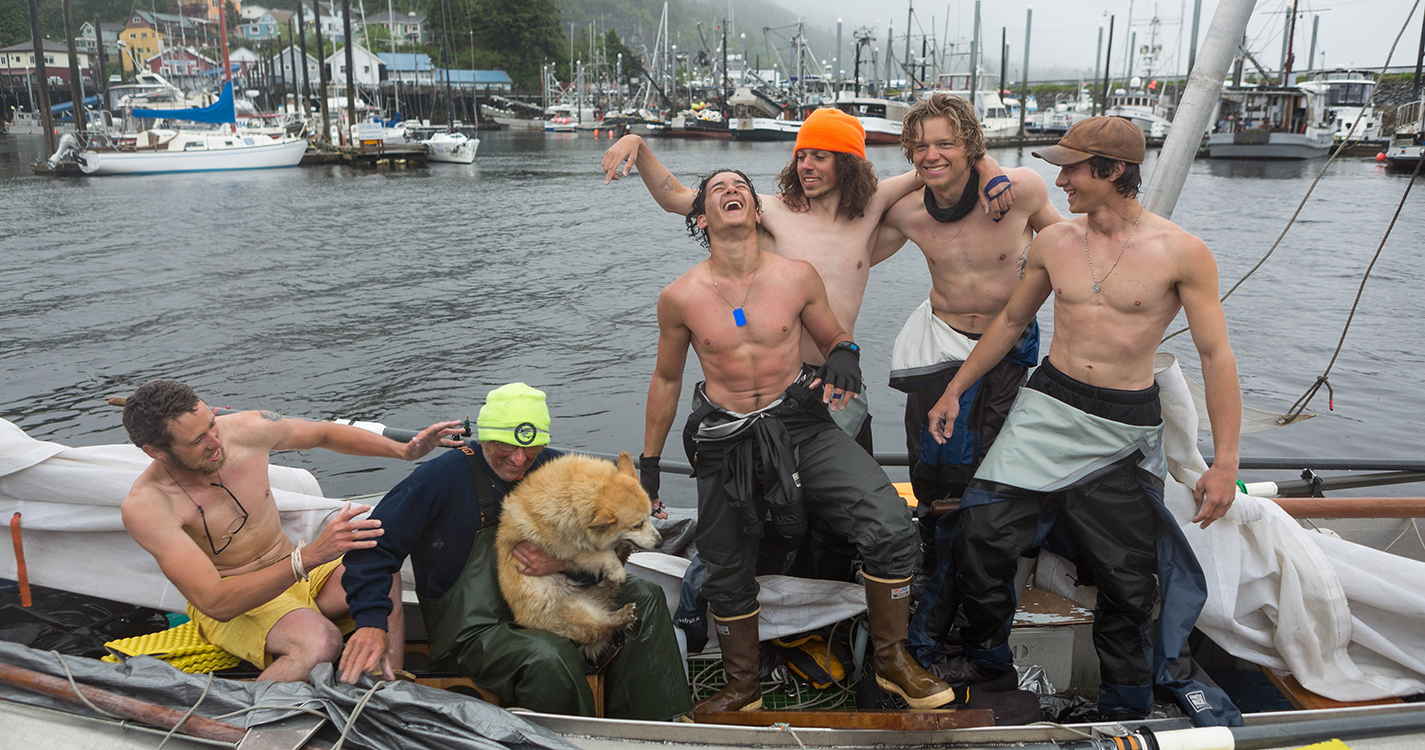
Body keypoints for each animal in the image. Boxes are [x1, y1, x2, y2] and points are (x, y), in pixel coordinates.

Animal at [495, 453, 661, 658]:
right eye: (637, 525)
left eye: (649, 516)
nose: (660, 542)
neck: (571, 495)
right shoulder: (566, 547)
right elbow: (599, 554)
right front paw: (616, 569)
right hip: (572, 611)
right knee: (600, 627)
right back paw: (623, 614)